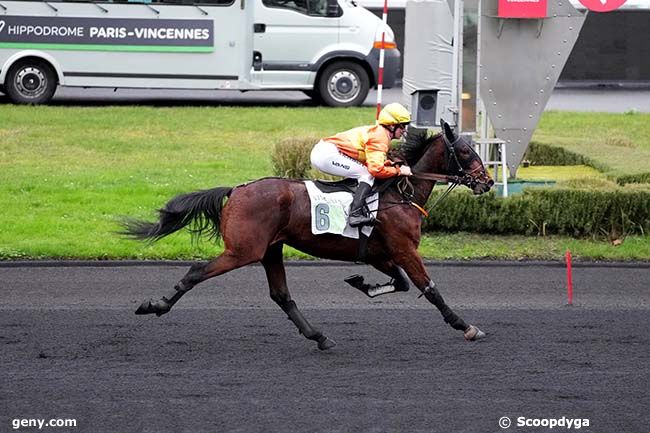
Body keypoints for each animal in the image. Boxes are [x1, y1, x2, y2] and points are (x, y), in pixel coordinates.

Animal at [123, 120, 492, 350]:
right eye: (467, 152)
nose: (487, 182)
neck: (401, 194)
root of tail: (236, 190)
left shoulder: (380, 254)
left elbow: (399, 283)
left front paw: (362, 283)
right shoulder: (404, 250)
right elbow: (429, 289)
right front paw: (465, 326)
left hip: (270, 250)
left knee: (282, 295)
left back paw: (319, 336)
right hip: (243, 250)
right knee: (197, 272)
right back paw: (155, 305)